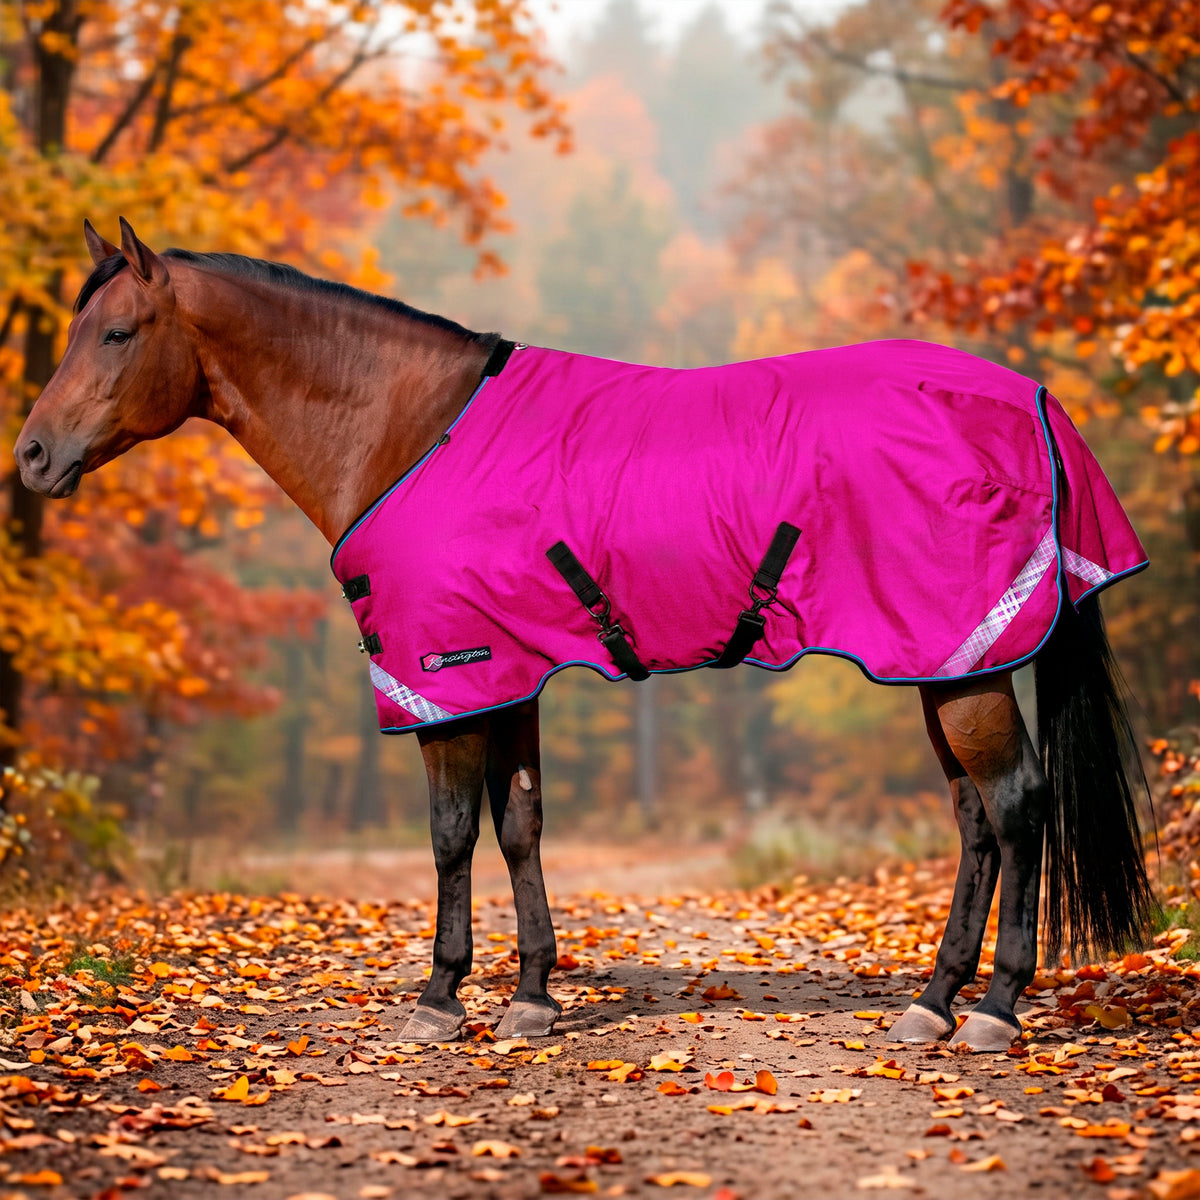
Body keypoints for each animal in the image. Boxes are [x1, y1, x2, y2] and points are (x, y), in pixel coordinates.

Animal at [14, 219, 1154, 1053]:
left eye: (116, 333)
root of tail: (1032, 400)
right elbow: (519, 825)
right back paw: (934, 1000)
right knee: (975, 821)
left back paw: (995, 1010)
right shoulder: (507, 673)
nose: (29, 456)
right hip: (942, 661)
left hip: (963, 664)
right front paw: (530, 994)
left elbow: (449, 835)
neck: (410, 430)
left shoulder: (443, 677)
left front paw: (439, 996)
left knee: (1017, 805)